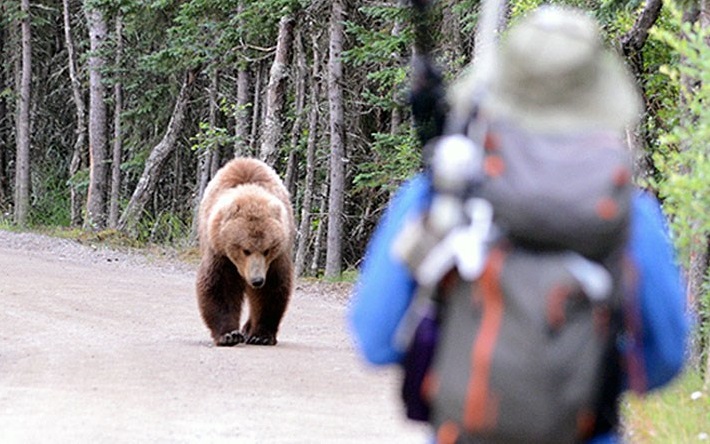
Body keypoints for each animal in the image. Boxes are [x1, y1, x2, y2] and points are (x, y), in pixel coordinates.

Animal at [195, 156, 294, 346]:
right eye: (245, 250)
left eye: (267, 250)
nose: (257, 280)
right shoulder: (220, 252)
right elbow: (220, 286)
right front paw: (229, 335)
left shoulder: (275, 259)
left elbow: (271, 289)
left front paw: (261, 335)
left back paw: (248, 329)